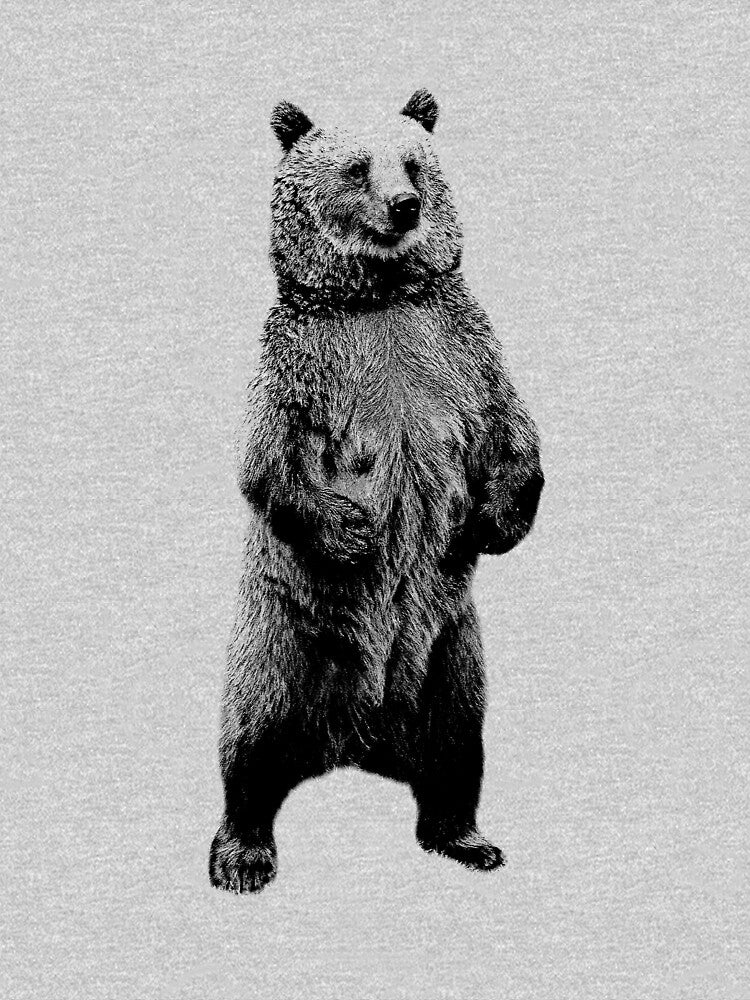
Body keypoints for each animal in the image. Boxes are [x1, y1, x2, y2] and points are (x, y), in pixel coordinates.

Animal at [209, 89, 544, 893]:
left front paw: (491, 520)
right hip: (282, 639)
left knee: (458, 749)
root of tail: (354, 741)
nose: (405, 205)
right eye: (357, 166)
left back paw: (467, 837)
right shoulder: (302, 362)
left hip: (451, 656)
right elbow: (267, 463)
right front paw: (353, 529)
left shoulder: (460, 348)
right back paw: (242, 853)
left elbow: (513, 434)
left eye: (415, 164)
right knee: (250, 743)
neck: (379, 296)